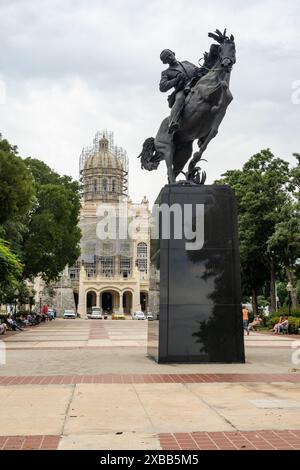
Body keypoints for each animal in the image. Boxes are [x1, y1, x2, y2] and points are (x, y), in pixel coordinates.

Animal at [138, 30, 237, 185]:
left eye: (233, 47)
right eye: (220, 49)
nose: (226, 63)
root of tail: (155, 138)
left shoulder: (223, 112)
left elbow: (213, 131)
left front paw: (196, 157)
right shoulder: (203, 95)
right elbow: (222, 85)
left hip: (183, 153)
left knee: (174, 171)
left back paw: (186, 181)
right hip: (167, 148)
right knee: (169, 170)